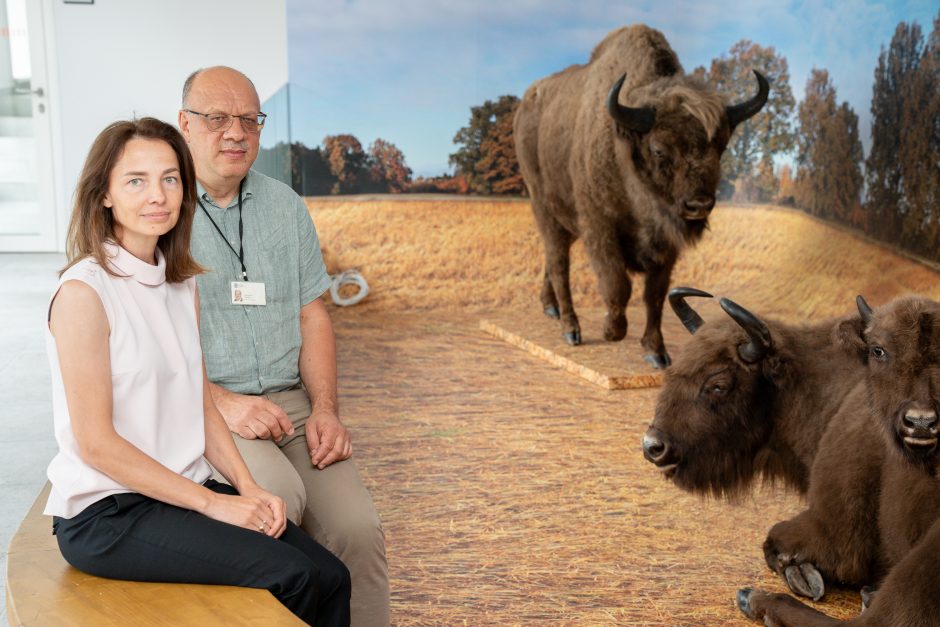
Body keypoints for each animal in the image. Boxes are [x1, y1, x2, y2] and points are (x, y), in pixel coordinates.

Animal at [516, 25, 772, 368]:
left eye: (721, 146)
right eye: (658, 149)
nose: (699, 205)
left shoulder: (666, 244)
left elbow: (656, 295)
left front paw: (657, 352)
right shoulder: (599, 227)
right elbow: (617, 285)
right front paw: (612, 330)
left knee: (552, 257)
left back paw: (551, 308)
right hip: (543, 206)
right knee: (559, 262)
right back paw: (570, 329)